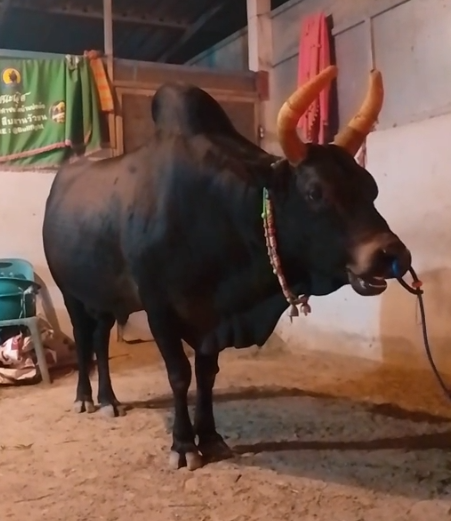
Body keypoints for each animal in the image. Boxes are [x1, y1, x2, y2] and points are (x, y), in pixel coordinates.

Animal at [42, 65, 412, 471]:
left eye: (371, 188)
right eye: (315, 191)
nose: (391, 253)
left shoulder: (212, 320)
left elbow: (206, 375)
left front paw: (210, 438)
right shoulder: (160, 310)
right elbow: (179, 373)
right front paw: (183, 444)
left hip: (106, 298)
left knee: (100, 340)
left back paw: (109, 400)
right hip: (71, 293)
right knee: (83, 340)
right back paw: (85, 398)